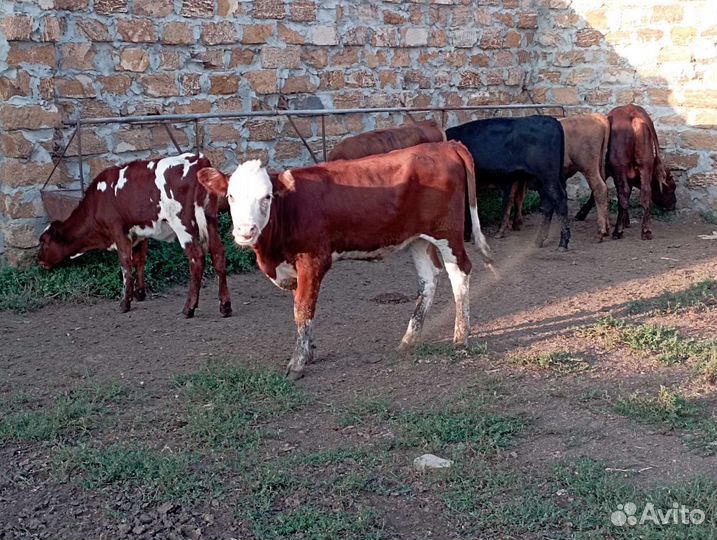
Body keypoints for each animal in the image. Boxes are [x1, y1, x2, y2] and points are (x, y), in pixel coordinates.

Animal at [38, 153, 232, 318]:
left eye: (44, 241)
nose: (38, 259)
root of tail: (199, 160)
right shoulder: (140, 233)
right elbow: (140, 260)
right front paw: (140, 293)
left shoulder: (119, 231)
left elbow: (125, 263)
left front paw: (125, 302)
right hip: (210, 219)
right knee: (218, 254)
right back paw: (225, 306)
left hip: (183, 224)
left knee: (196, 259)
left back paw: (188, 308)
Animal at [197, 141, 493, 380]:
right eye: (231, 196)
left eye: (267, 196)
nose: (246, 231)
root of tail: (445, 145)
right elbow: (299, 310)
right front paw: (308, 352)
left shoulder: (313, 260)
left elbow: (303, 309)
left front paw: (297, 363)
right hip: (417, 239)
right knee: (429, 280)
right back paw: (408, 340)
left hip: (447, 234)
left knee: (460, 273)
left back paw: (460, 338)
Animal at [446, 115, 570, 250]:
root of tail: (553, 120)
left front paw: (466, 235)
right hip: (541, 180)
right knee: (548, 204)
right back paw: (539, 240)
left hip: (547, 177)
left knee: (560, 200)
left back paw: (563, 242)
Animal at [575, 104, 676, 240]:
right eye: (671, 188)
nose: (673, 205)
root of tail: (635, 116)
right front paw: (626, 221)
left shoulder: (609, 171)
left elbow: (597, 193)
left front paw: (581, 214)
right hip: (645, 164)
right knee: (645, 193)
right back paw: (646, 231)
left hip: (620, 167)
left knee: (623, 193)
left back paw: (618, 231)